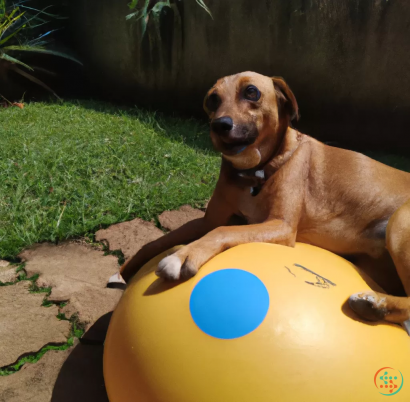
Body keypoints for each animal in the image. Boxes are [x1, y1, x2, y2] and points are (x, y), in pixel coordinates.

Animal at [109, 71, 410, 332]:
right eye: (213, 99)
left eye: (251, 91)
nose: (219, 125)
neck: (257, 170)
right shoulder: (208, 220)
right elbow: (155, 242)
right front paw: (124, 271)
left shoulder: (280, 226)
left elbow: (222, 231)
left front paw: (183, 255)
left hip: (400, 223)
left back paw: (375, 303)